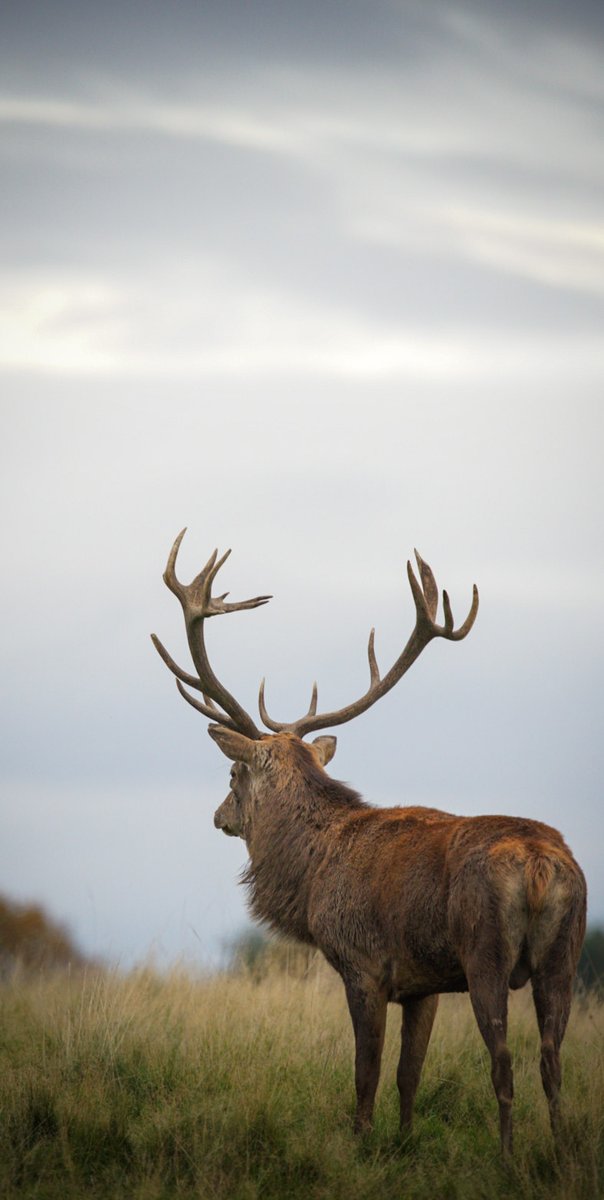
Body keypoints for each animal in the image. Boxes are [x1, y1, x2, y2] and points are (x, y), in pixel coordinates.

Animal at [152, 529, 586, 1155]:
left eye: (233, 775)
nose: (219, 816)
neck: (312, 874)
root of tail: (539, 865)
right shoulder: (423, 984)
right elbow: (409, 1074)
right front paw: (404, 1142)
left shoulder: (362, 963)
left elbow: (367, 1072)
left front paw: (360, 1141)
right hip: (565, 952)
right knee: (552, 1060)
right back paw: (560, 1153)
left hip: (485, 949)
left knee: (505, 1060)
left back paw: (508, 1157)